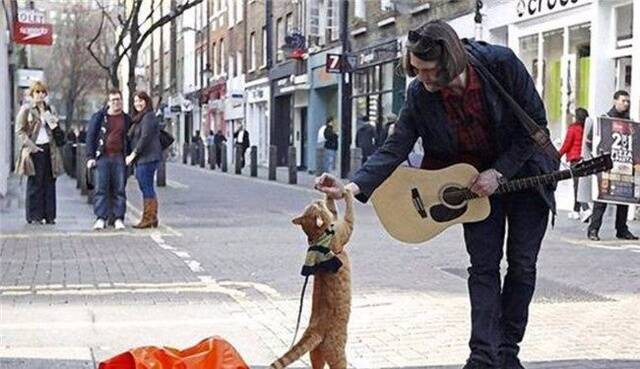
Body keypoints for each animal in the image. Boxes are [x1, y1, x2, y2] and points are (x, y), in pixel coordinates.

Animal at [272, 190, 358, 368]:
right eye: (315, 205)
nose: (317, 199)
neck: (317, 237)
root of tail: (314, 329)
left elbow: (333, 209)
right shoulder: (346, 228)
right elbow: (349, 210)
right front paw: (346, 191)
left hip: (316, 354)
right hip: (338, 353)